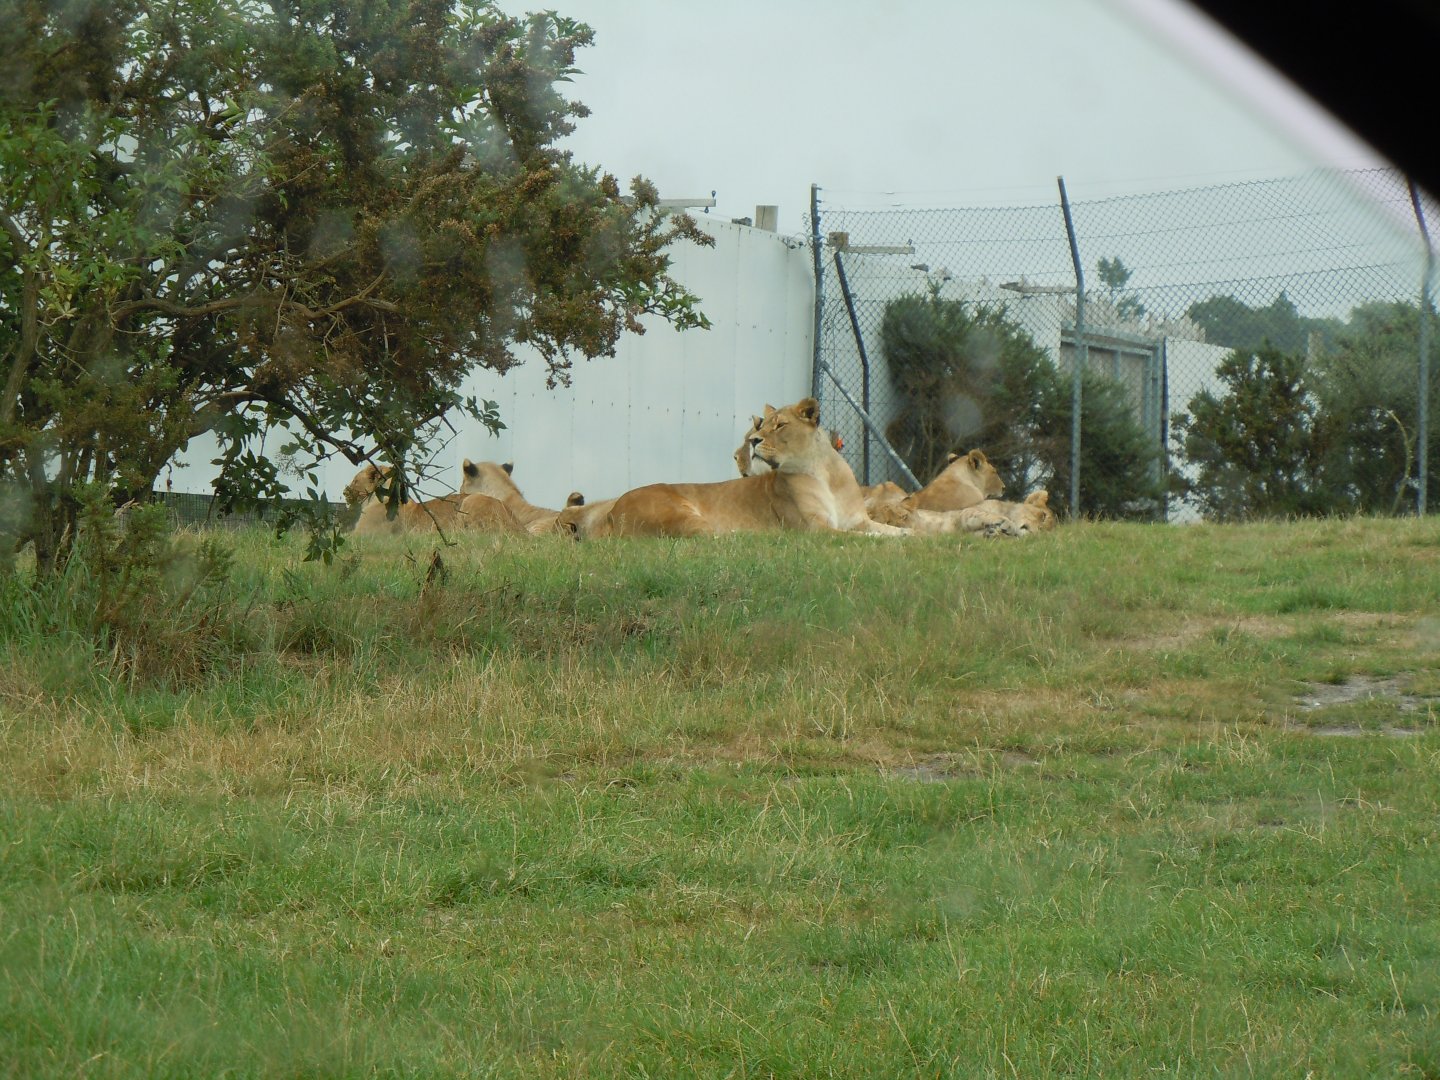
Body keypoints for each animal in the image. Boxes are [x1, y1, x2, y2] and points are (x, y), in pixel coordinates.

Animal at [607, 397, 908, 537]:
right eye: (761, 427)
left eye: (780, 424)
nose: (753, 440)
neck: (823, 471)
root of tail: (612, 509)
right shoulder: (814, 528)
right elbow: (865, 537)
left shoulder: (858, 519)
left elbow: (888, 530)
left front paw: (913, 535)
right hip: (681, 514)